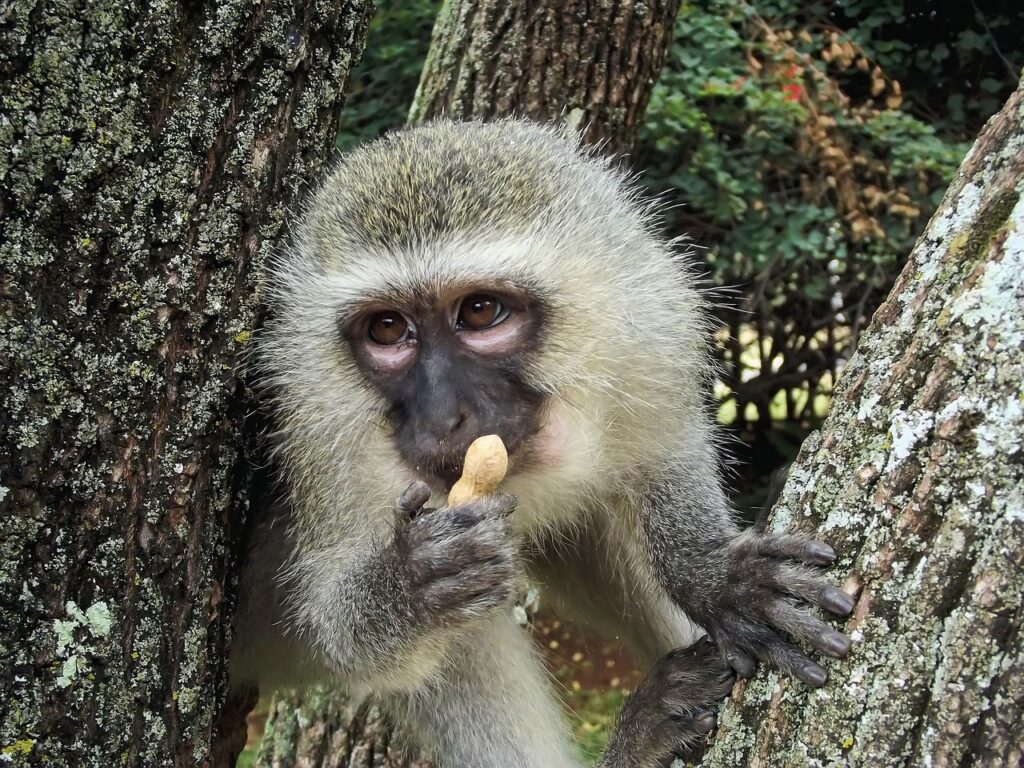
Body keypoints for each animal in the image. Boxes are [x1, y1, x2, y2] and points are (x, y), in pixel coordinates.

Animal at [234, 120, 856, 768]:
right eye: (386, 329)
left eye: (481, 311)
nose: (442, 418)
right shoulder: (323, 444)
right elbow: (339, 629)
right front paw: (409, 582)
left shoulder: (641, 337)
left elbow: (663, 449)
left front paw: (708, 572)